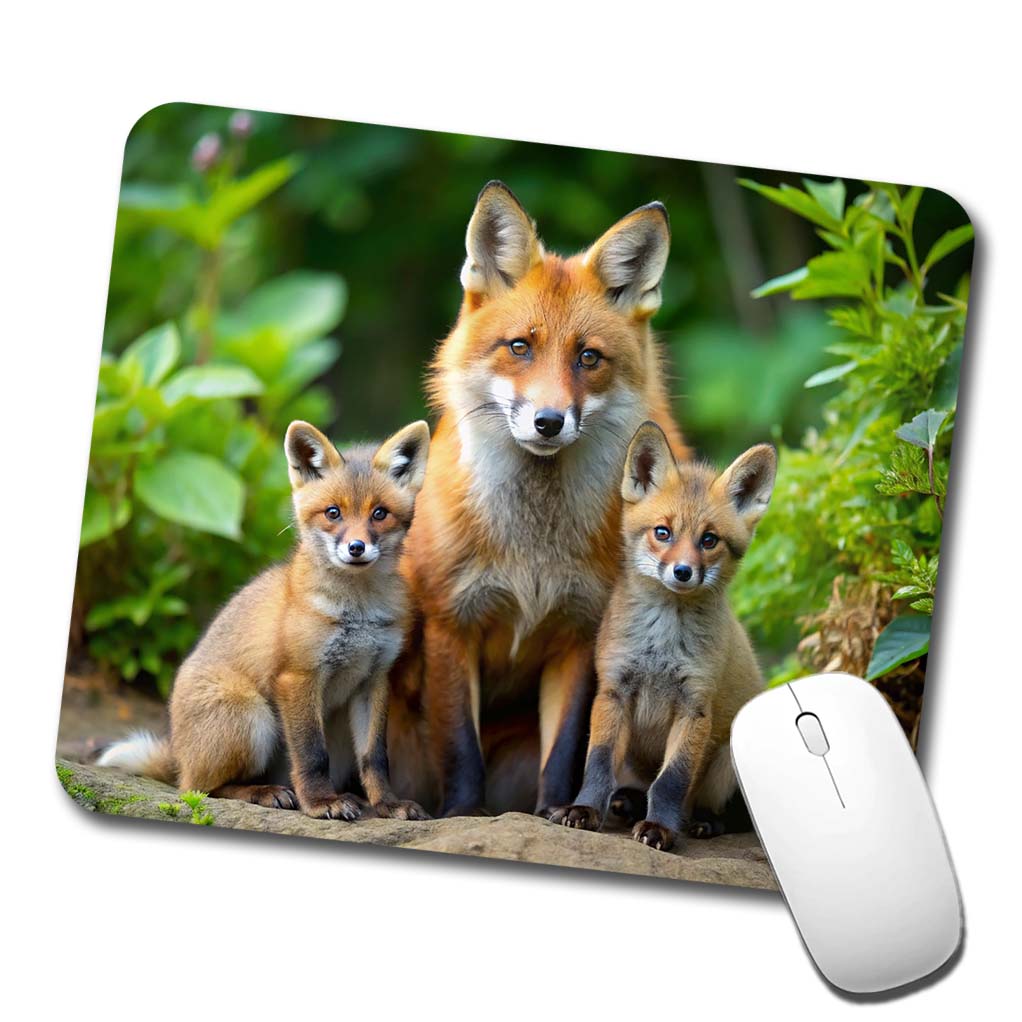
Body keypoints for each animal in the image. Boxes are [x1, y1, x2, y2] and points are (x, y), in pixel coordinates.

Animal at [99, 419, 431, 822]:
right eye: (333, 513)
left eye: (379, 514)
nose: (356, 548)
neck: (358, 613)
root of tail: (179, 752)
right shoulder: (297, 676)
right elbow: (311, 754)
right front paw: (321, 803)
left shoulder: (374, 679)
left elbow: (376, 758)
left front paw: (387, 804)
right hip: (252, 717)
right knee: (201, 789)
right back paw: (265, 792)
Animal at [391, 181, 688, 818]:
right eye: (520, 347)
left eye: (588, 357)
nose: (549, 422)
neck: (533, 547)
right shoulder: (452, 624)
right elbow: (460, 747)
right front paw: (462, 815)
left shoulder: (579, 634)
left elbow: (566, 748)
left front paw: (557, 813)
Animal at [550, 422, 776, 850]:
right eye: (663, 532)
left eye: (709, 540)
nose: (683, 572)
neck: (661, 644)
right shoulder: (613, 691)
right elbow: (598, 763)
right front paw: (584, 810)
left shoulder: (695, 706)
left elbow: (672, 779)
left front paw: (660, 829)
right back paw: (627, 803)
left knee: (737, 817)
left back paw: (702, 822)